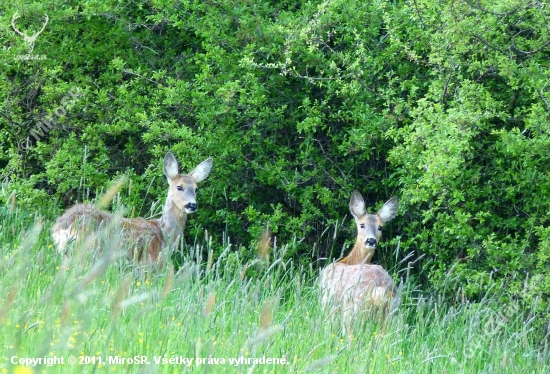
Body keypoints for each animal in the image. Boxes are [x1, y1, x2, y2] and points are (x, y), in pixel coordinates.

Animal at [320, 191, 402, 322]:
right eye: (362, 225)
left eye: (380, 227)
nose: (371, 241)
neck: (349, 260)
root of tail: (379, 289)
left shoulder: (326, 301)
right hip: (391, 312)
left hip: (352, 309)